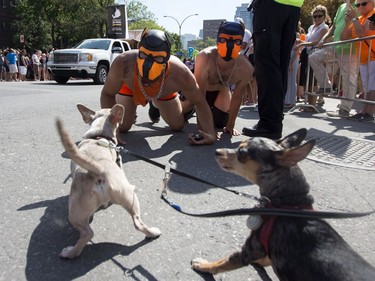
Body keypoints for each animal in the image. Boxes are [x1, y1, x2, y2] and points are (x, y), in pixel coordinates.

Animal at [192, 129, 374, 280]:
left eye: (242, 153)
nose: (217, 151)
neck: (288, 205)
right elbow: (267, 259)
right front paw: (264, 261)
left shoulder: (248, 250)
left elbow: (222, 262)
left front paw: (203, 265)